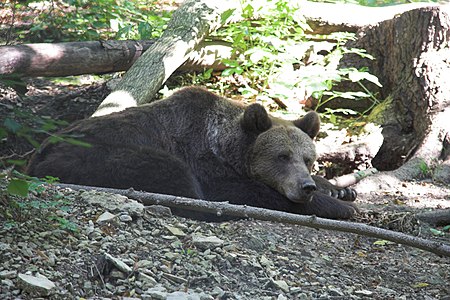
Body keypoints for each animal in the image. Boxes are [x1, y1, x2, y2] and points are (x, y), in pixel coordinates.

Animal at [27, 86, 358, 220]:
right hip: (100, 156)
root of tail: (37, 154)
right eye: (282, 156)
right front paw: (338, 206)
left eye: (308, 158)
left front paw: (340, 191)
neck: (226, 147)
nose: (306, 187)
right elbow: (243, 192)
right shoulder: (203, 160)